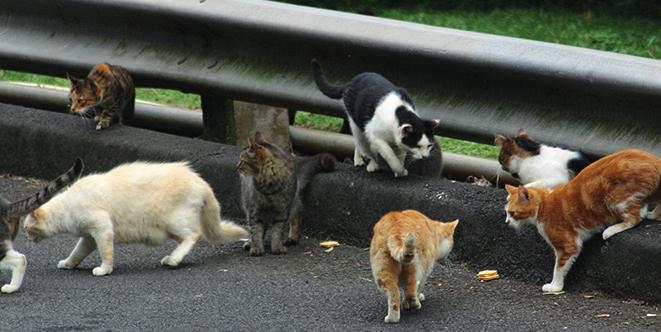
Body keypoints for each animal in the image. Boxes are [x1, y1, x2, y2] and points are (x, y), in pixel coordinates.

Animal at [24, 161, 249, 274]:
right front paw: (69, 263)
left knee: (194, 234)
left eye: (26, 229)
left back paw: (174, 259)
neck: (67, 207)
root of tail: (201, 181)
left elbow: (106, 253)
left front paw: (104, 269)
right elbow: (77, 252)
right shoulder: (89, 237)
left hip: (172, 222)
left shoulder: (102, 228)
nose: (25, 238)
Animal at [310, 59, 438, 179]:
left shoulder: (399, 142)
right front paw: (399, 169)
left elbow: (399, 155)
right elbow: (390, 155)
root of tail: (351, 82)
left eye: (429, 146)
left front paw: (399, 171)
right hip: (357, 126)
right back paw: (368, 163)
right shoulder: (376, 137)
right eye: (417, 146)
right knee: (364, 146)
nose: (425, 157)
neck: (399, 112)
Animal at [502, 149, 656, 292]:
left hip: (616, 199)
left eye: (512, 213)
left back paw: (610, 230)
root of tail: (653, 160)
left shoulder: (568, 244)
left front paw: (555, 286)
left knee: (636, 217)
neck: (543, 205)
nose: (506, 222)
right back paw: (651, 214)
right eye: (506, 213)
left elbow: (558, 267)